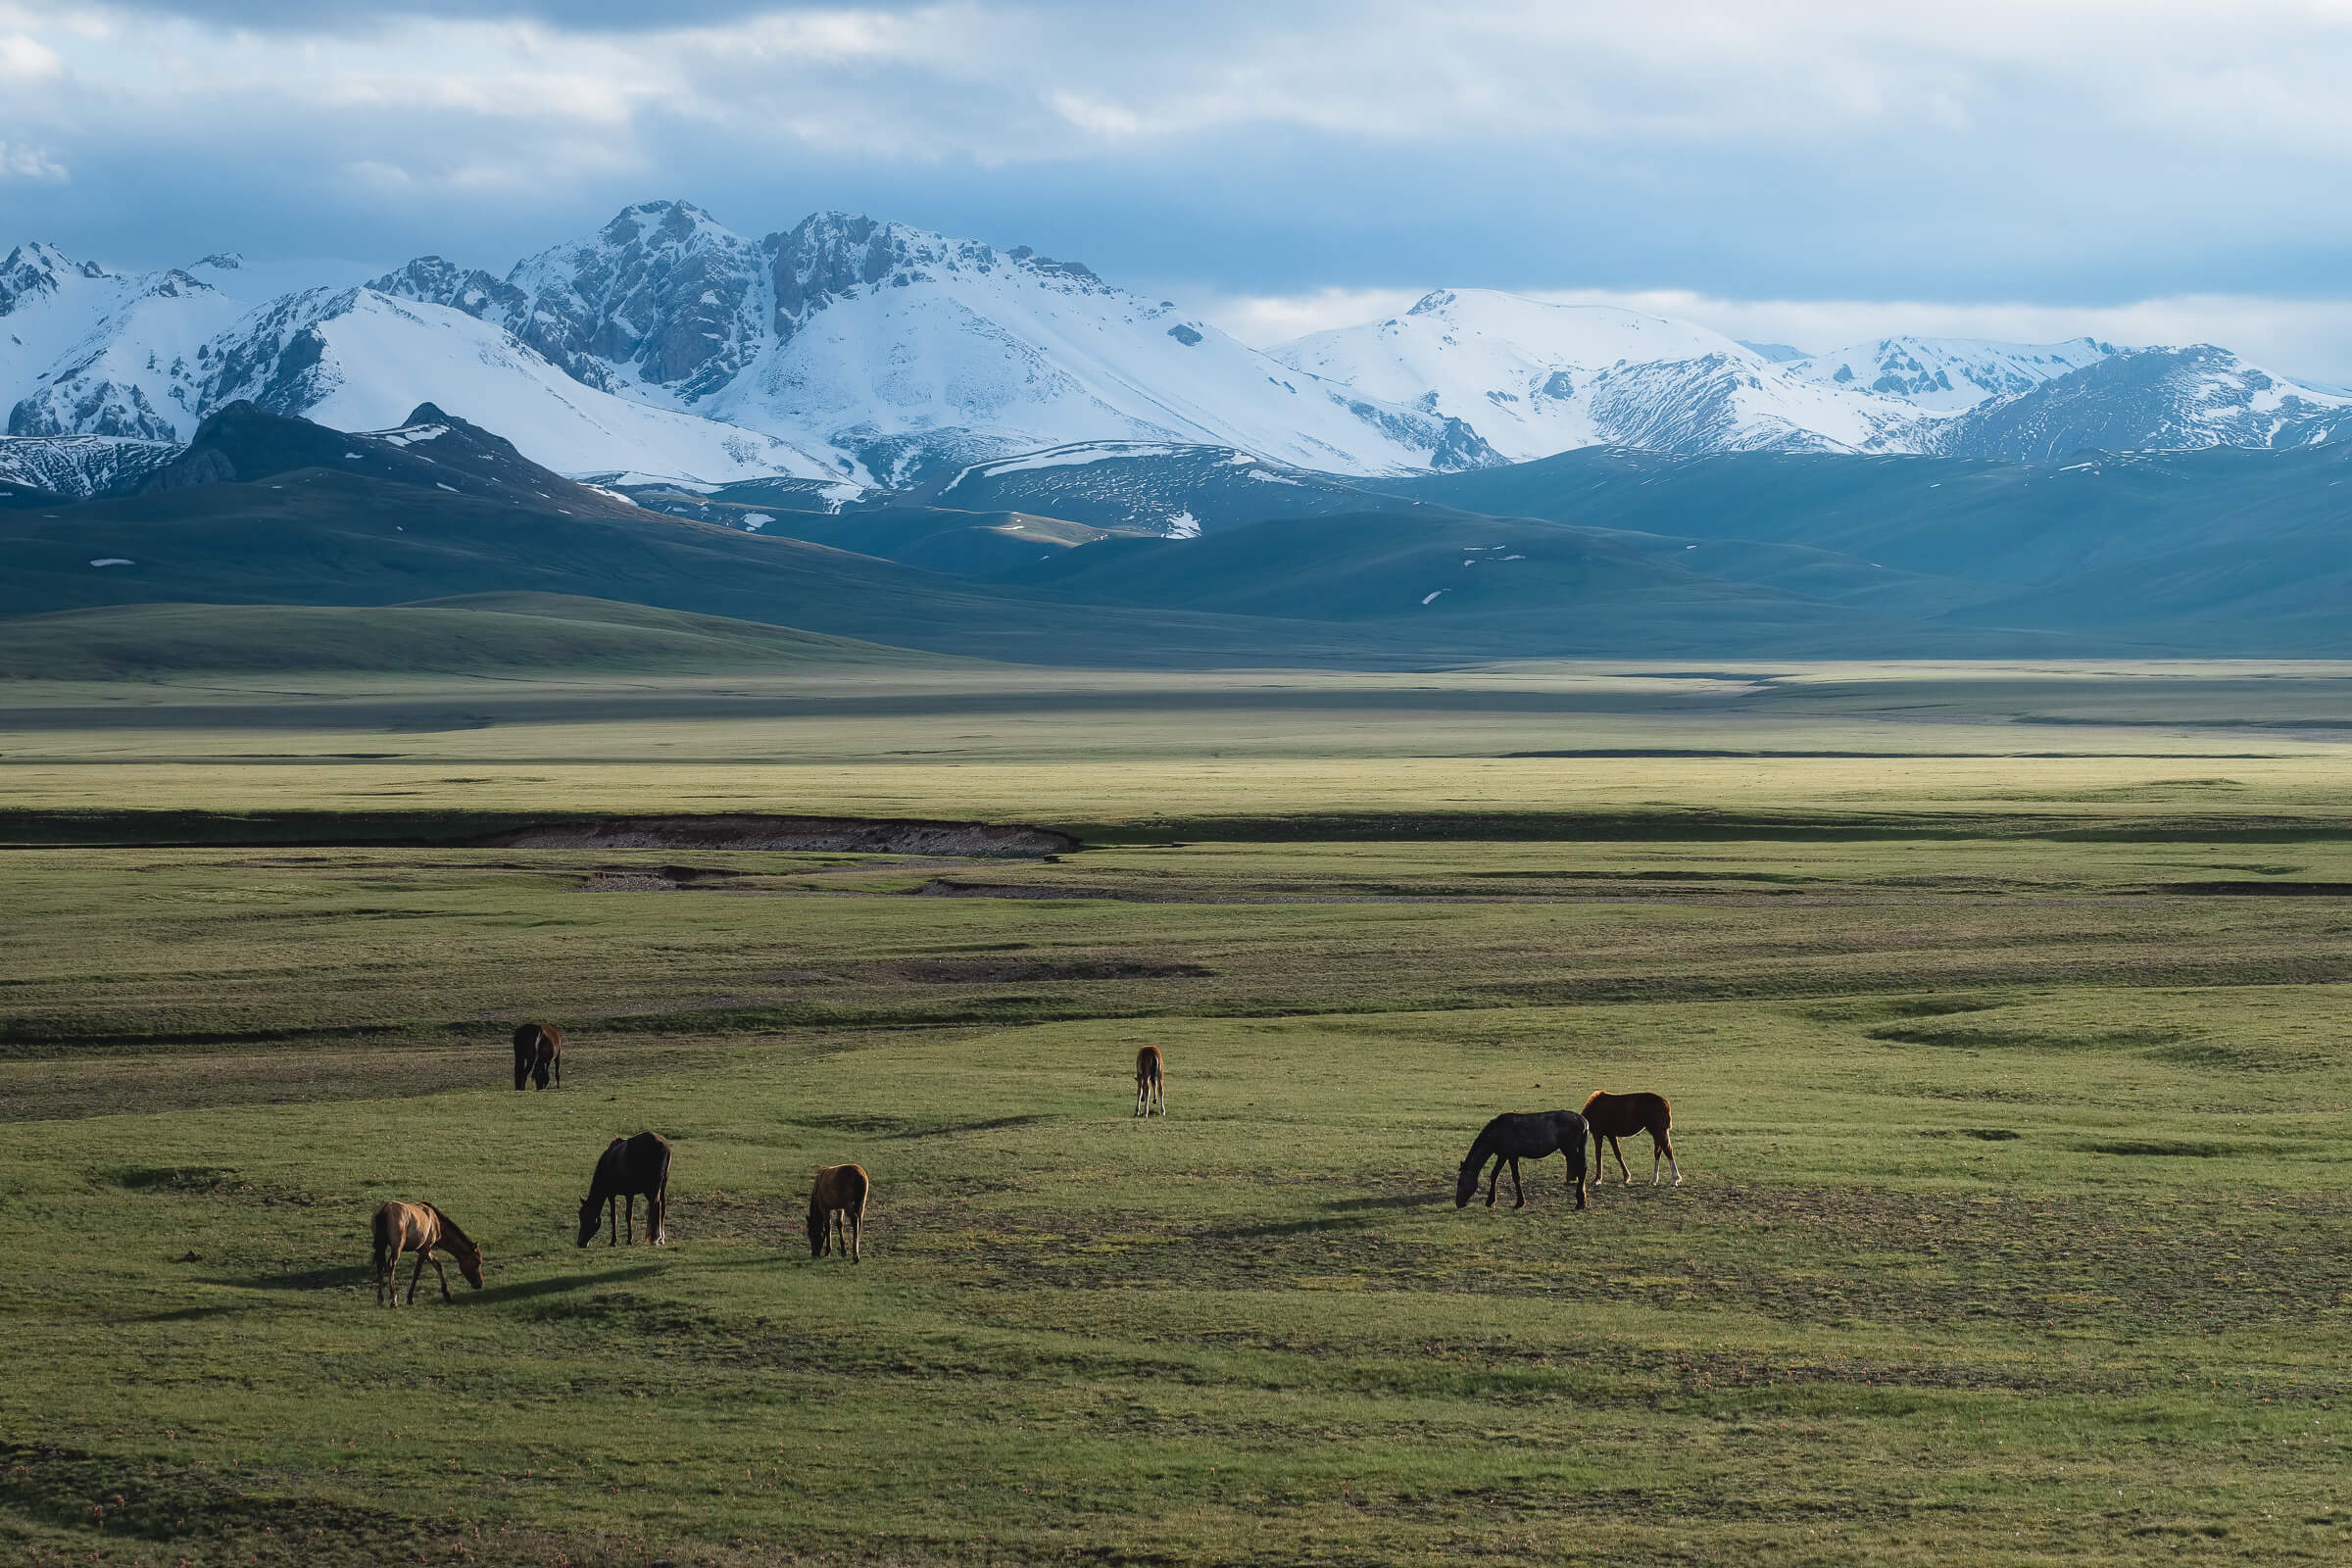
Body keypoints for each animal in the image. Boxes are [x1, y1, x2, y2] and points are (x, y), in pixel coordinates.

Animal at [1448, 1104, 1599, 1212]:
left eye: (1460, 1182)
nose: (1458, 1203)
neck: (1497, 1132)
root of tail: (1584, 1121)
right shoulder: (1503, 1155)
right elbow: (1494, 1174)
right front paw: (1490, 1200)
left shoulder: (1512, 1156)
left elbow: (1516, 1177)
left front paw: (1519, 1203)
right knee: (1582, 1168)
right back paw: (1582, 1200)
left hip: (1569, 1149)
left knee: (1581, 1169)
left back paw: (1580, 1202)